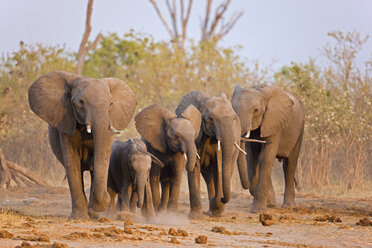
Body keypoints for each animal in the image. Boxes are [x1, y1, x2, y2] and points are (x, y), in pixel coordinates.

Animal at [28, 70, 137, 219]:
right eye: (81, 102)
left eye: (111, 104)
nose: (107, 196)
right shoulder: (66, 121)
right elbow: (72, 162)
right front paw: (79, 217)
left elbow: (100, 160)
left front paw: (94, 212)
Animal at [232, 84, 306, 212]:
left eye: (256, 110)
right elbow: (252, 159)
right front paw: (270, 203)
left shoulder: (274, 121)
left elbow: (266, 157)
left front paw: (258, 211)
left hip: (299, 128)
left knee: (289, 164)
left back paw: (289, 206)